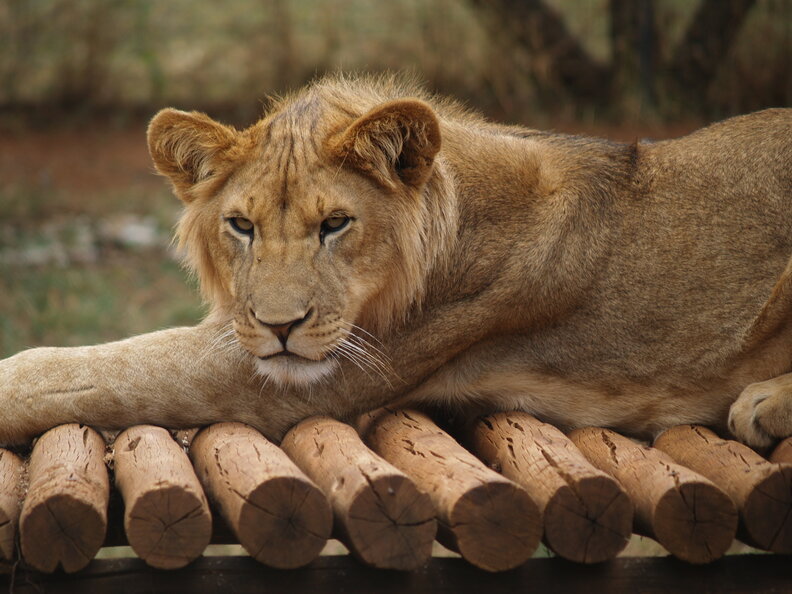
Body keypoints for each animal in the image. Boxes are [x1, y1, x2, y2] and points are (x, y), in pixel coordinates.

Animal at [1, 74, 791, 450]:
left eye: (336, 225)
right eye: (241, 226)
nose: (280, 327)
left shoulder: (319, 375)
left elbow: (95, 370)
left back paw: (762, 405)